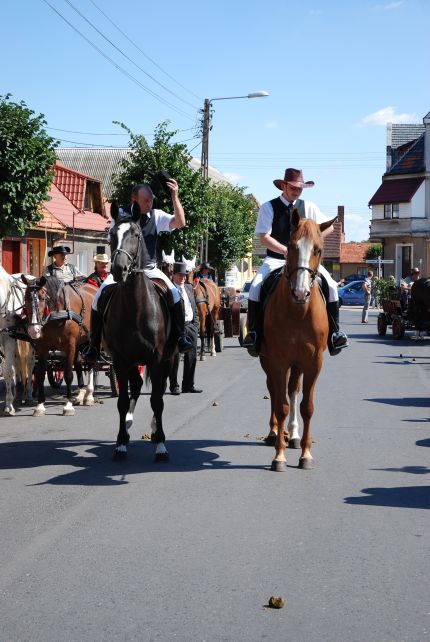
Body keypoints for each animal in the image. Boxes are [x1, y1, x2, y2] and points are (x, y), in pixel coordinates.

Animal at [21, 274, 97, 416]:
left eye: (42, 298)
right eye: (26, 297)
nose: (34, 330)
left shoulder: (69, 345)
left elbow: (68, 374)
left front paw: (68, 405)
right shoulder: (42, 347)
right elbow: (40, 374)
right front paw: (40, 406)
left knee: (91, 363)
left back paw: (89, 395)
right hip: (80, 342)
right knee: (79, 364)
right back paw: (80, 394)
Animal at [102, 202, 176, 458]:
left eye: (135, 235)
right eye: (112, 235)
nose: (119, 269)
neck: (135, 307)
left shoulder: (157, 358)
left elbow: (156, 401)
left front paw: (161, 444)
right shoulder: (120, 359)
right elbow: (123, 401)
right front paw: (120, 443)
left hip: (166, 360)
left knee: (159, 392)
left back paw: (154, 431)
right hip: (133, 361)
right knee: (134, 388)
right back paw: (128, 425)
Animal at [258, 210, 336, 470]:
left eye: (318, 249)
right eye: (291, 246)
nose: (301, 293)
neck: (298, 311)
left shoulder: (313, 362)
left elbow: (306, 407)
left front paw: (305, 453)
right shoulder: (278, 361)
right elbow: (281, 405)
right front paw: (279, 456)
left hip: (298, 363)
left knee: (292, 390)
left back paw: (292, 435)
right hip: (268, 361)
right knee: (274, 391)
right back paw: (275, 433)